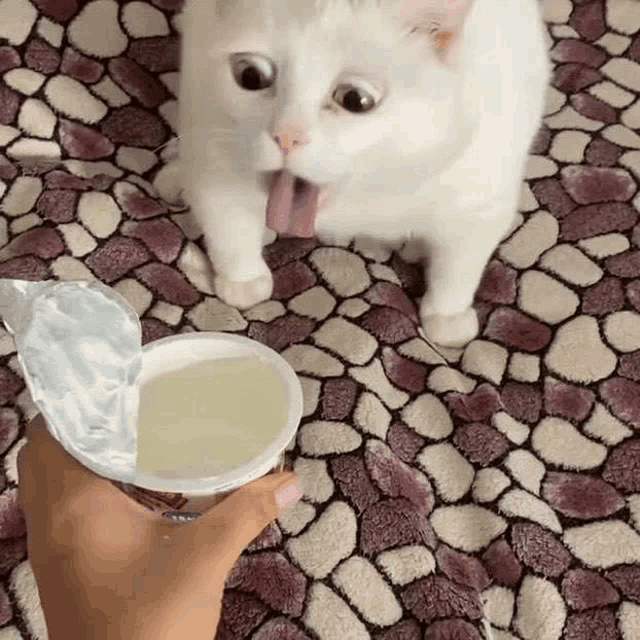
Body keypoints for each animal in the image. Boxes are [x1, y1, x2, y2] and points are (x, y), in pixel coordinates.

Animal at [156, 0, 552, 344]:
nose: (286, 136)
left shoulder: (480, 197)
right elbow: (230, 233)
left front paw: (448, 317)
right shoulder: (212, 155)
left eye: (355, 100)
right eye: (251, 76)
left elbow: (458, 266)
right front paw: (243, 281)